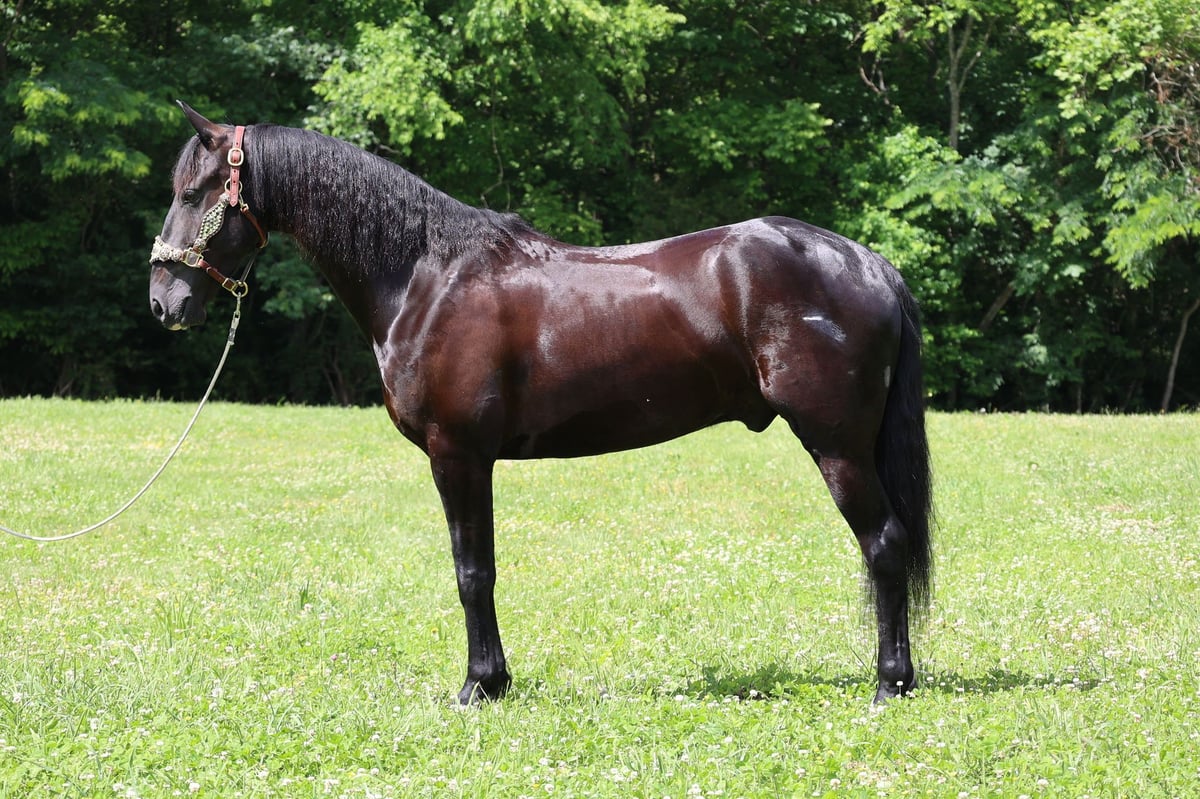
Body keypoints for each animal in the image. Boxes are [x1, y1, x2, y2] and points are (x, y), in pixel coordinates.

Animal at [149, 102, 933, 705]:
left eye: (194, 191)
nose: (164, 302)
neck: (426, 276)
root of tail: (868, 263)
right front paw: (493, 680)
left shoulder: (459, 455)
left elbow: (473, 572)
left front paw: (480, 685)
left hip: (836, 445)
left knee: (885, 544)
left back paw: (889, 683)